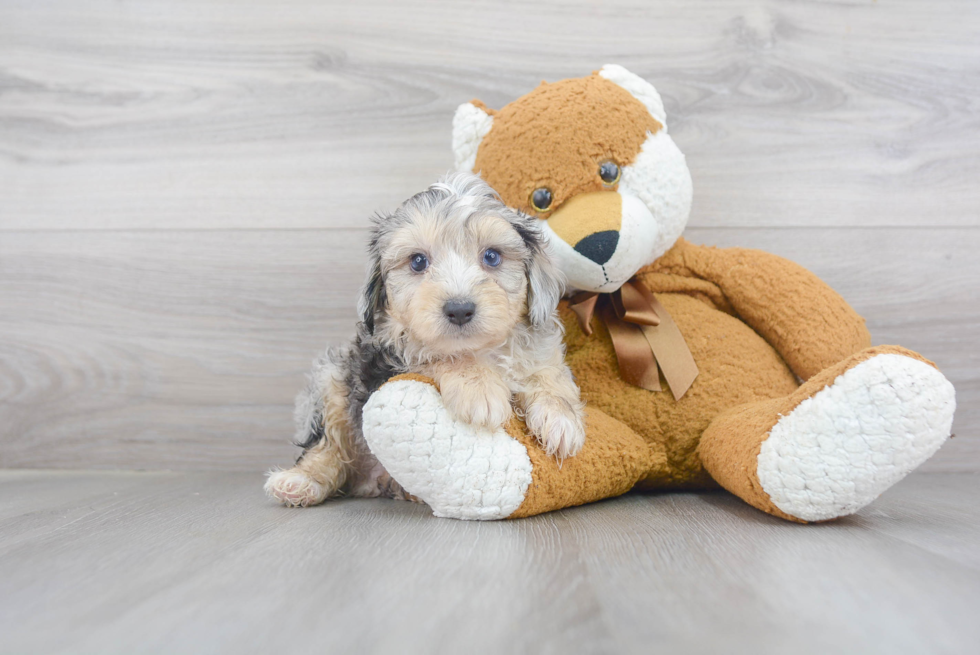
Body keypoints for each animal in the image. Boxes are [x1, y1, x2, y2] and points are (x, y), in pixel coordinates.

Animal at [264, 173, 584, 508]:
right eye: (418, 262)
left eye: (492, 256)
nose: (459, 309)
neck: (482, 350)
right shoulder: (386, 358)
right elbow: (435, 354)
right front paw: (478, 389)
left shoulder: (540, 348)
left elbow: (548, 373)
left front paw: (561, 418)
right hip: (332, 379)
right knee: (328, 447)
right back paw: (300, 482)